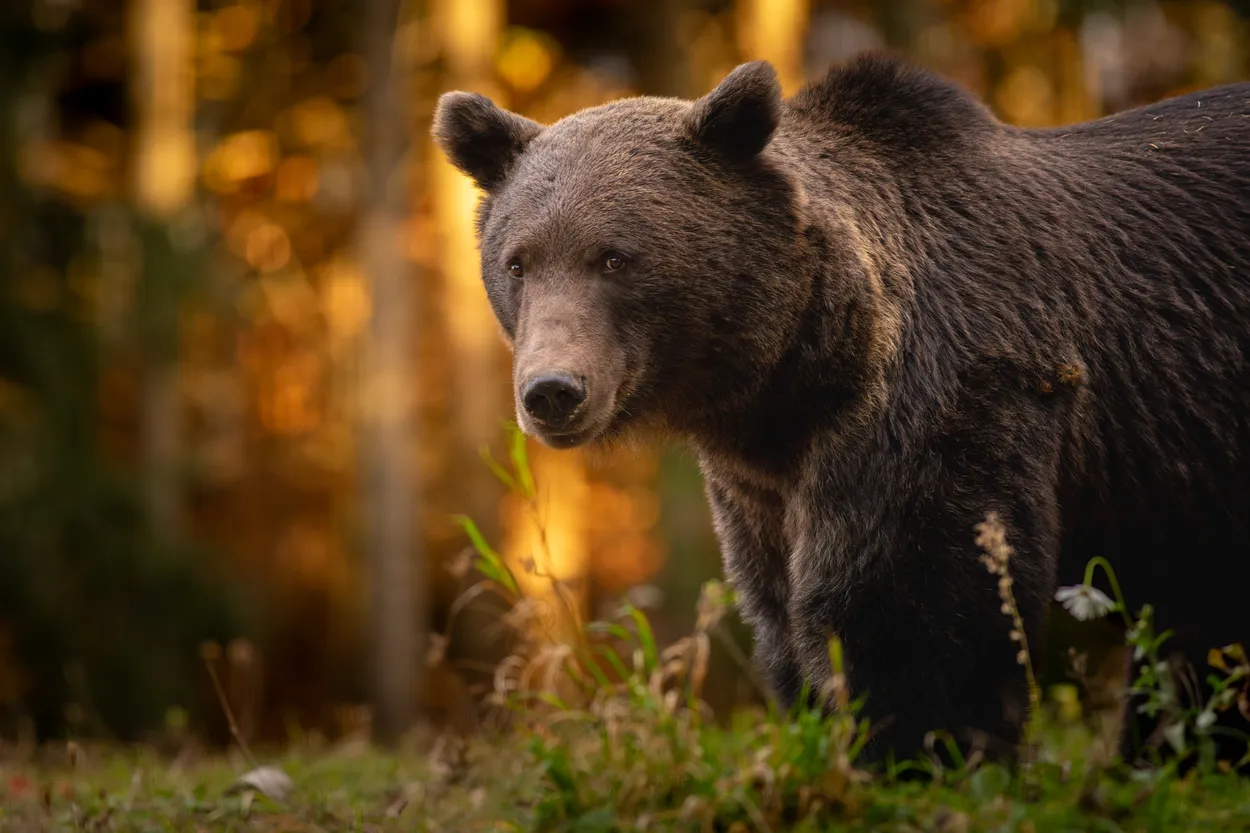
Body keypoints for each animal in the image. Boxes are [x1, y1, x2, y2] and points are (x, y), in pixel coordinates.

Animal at [432, 52, 1250, 767]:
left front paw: (914, 756)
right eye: (518, 261)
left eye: (614, 257)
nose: (552, 391)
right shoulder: (761, 483)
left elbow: (915, 610)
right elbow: (782, 611)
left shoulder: (949, 396)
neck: (794, 380)